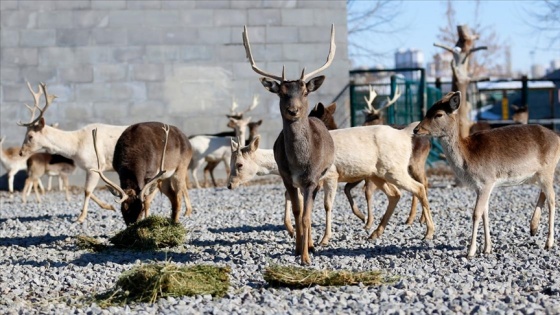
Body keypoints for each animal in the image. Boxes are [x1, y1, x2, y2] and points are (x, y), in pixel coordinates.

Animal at [17, 82, 128, 223]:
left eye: (30, 136)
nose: (21, 152)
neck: (76, 147)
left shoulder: (95, 165)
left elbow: (87, 191)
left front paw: (81, 217)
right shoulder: (89, 169)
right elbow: (88, 190)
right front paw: (110, 206)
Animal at [242, 25, 334, 266]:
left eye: (305, 92)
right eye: (281, 93)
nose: (293, 110)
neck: (300, 163)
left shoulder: (312, 179)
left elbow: (307, 217)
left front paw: (306, 257)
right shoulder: (287, 178)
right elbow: (297, 212)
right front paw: (297, 249)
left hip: (321, 178)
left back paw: (312, 246)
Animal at [414, 91, 556, 260]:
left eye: (438, 114)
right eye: (428, 110)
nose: (416, 129)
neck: (467, 158)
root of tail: (558, 137)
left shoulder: (486, 181)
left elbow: (476, 214)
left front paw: (471, 251)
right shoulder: (481, 186)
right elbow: (485, 213)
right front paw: (487, 248)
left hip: (548, 170)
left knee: (552, 199)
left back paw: (549, 243)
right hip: (537, 175)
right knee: (544, 194)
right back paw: (533, 228)